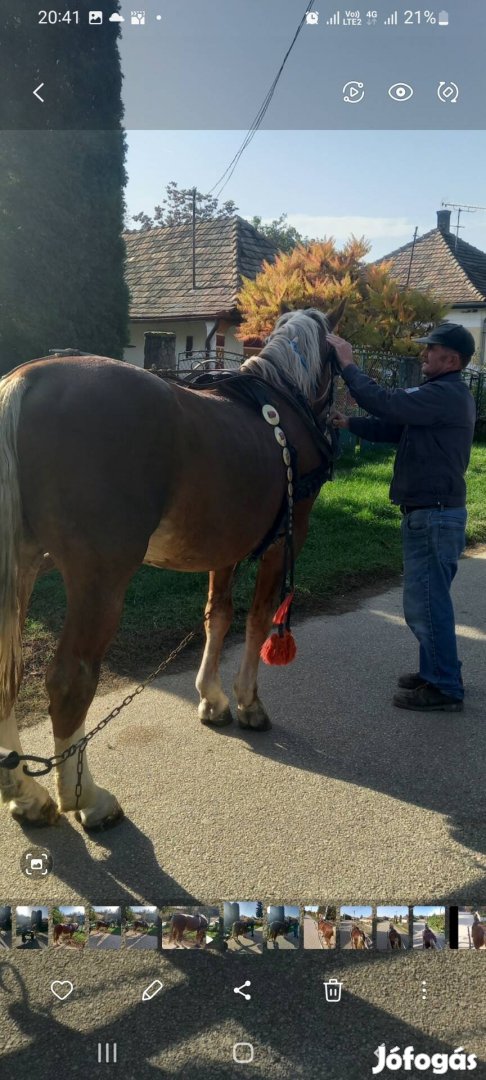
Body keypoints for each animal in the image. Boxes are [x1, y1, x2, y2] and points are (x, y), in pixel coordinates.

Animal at [0, 304, 341, 825]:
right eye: (339, 361)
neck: (283, 407)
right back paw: (86, 798)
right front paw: (248, 702)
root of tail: (27, 379)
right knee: (70, 681)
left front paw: (212, 698)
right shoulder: (285, 539)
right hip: (99, 577)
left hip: (22, 565)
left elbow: (218, 616)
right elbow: (259, 619)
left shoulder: (225, 547)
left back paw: (25, 793)